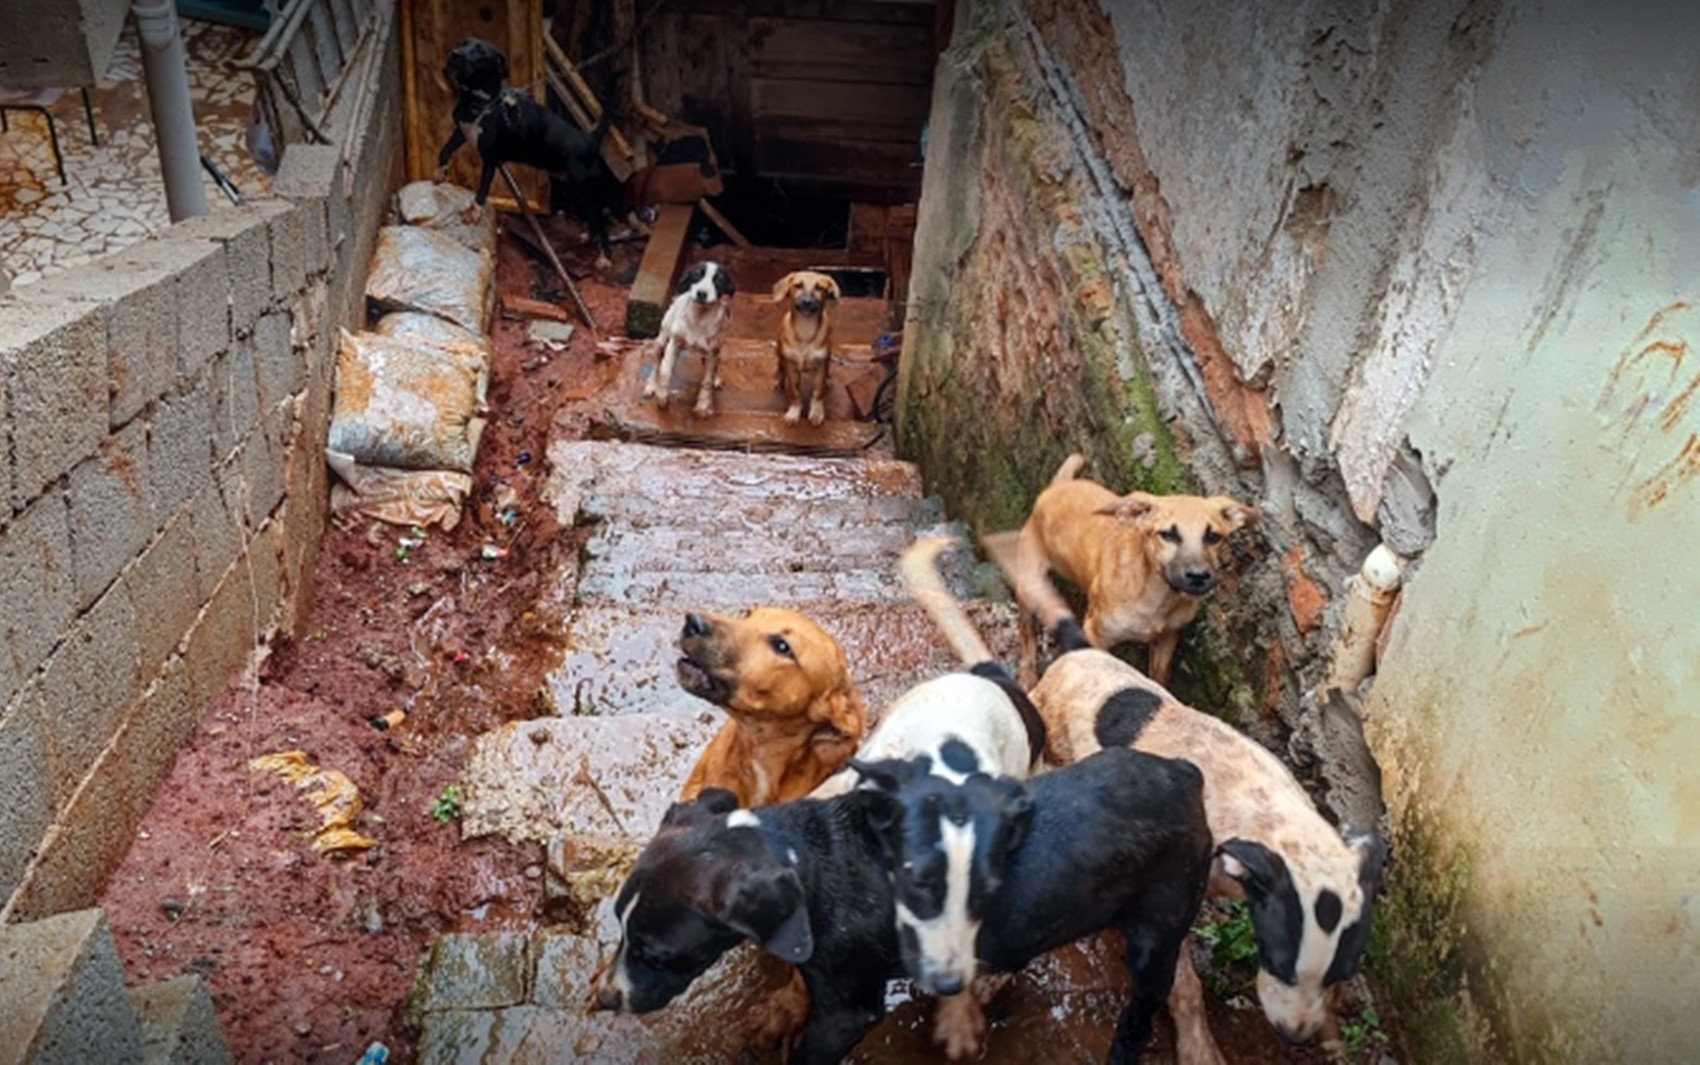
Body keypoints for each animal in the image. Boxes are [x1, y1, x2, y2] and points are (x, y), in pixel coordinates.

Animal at [595, 738, 1210, 1061]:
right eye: (619, 928)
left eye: (658, 954)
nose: (604, 999)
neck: (804, 856)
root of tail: (1186, 775)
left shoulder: (846, 1010)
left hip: (1158, 935)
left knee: (1143, 1006)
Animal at [768, 267, 839, 425]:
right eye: (798, 285)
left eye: (819, 288)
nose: (807, 302)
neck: (805, 330)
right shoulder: (790, 364)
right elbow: (794, 392)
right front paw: (794, 412)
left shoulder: (821, 364)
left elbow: (818, 392)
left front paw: (817, 412)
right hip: (780, 354)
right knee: (780, 369)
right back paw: (779, 380)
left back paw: (829, 380)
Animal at [999, 452, 1258, 683]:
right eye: (1168, 534)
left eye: (1214, 537)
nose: (1198, 576)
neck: (1156, 596)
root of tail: (1056, 488)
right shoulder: (1095, 634)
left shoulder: (1168, 637)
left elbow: (1159, 676)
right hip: (1029, 587)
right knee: (1026, 636)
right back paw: (1028, 676)